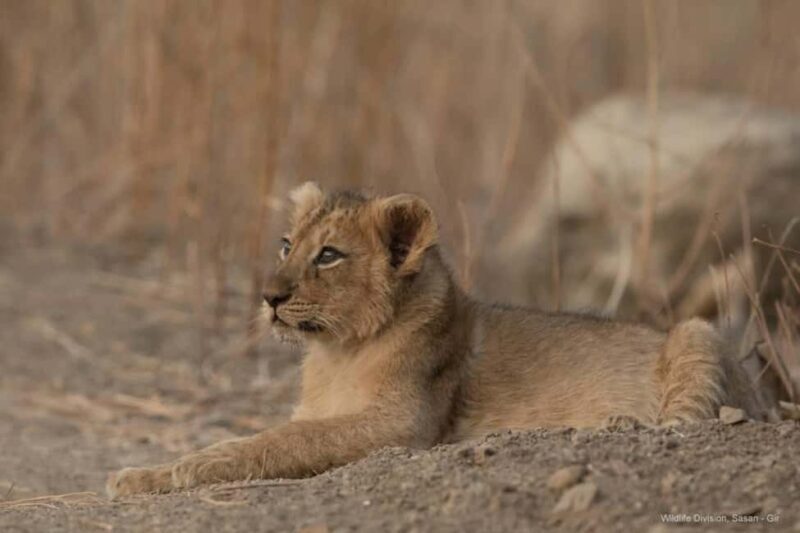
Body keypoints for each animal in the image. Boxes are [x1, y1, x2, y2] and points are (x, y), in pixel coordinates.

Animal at [107, 182, 773, 498]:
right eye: (286, 245)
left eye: (329, 255)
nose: (268, 297)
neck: (338, 350)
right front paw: (143, 473)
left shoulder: (403, 424)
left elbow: (273, 443)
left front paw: (169, 470)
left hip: (697, 332)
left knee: (693, 420)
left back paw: (616, 425)